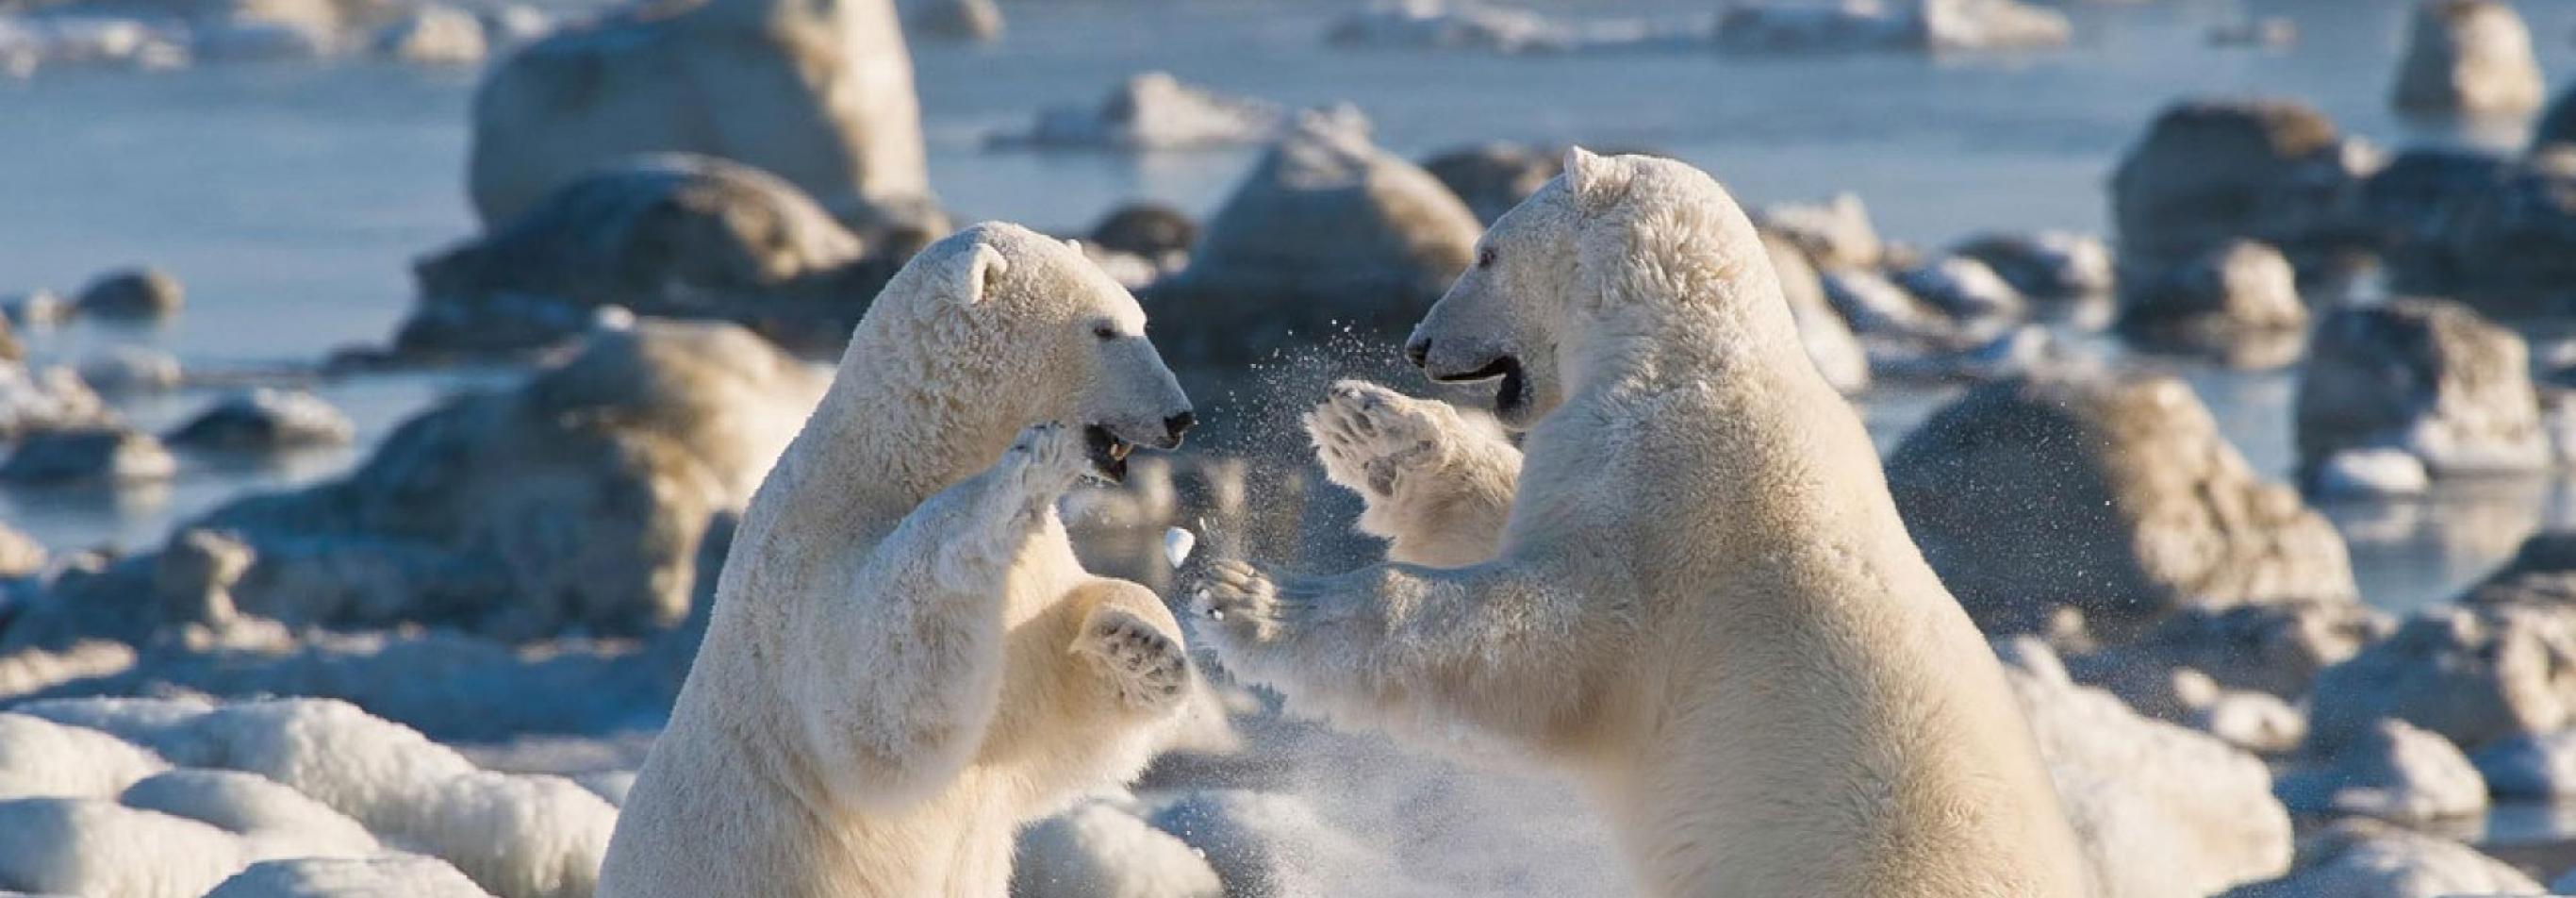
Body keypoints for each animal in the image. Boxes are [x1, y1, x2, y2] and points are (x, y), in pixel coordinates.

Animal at [603, 223, 1205, 898]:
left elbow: (1050, 716)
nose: (1180, 417)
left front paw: (1142, 647)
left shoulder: (1034, 581)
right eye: (1103, 329)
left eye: (1139, 318)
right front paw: (1023, 472)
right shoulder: (805, 565)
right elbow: (874, 706)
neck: (901, 456)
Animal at [1190, 151, 2091, 892]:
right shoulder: (1610, 458)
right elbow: (1520, 515)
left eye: (1485, 253)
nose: (1418, 346)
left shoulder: (1678, 504)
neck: (1685, 353)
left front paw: (1250, 598)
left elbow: (1552, 635)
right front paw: (1375, 430)